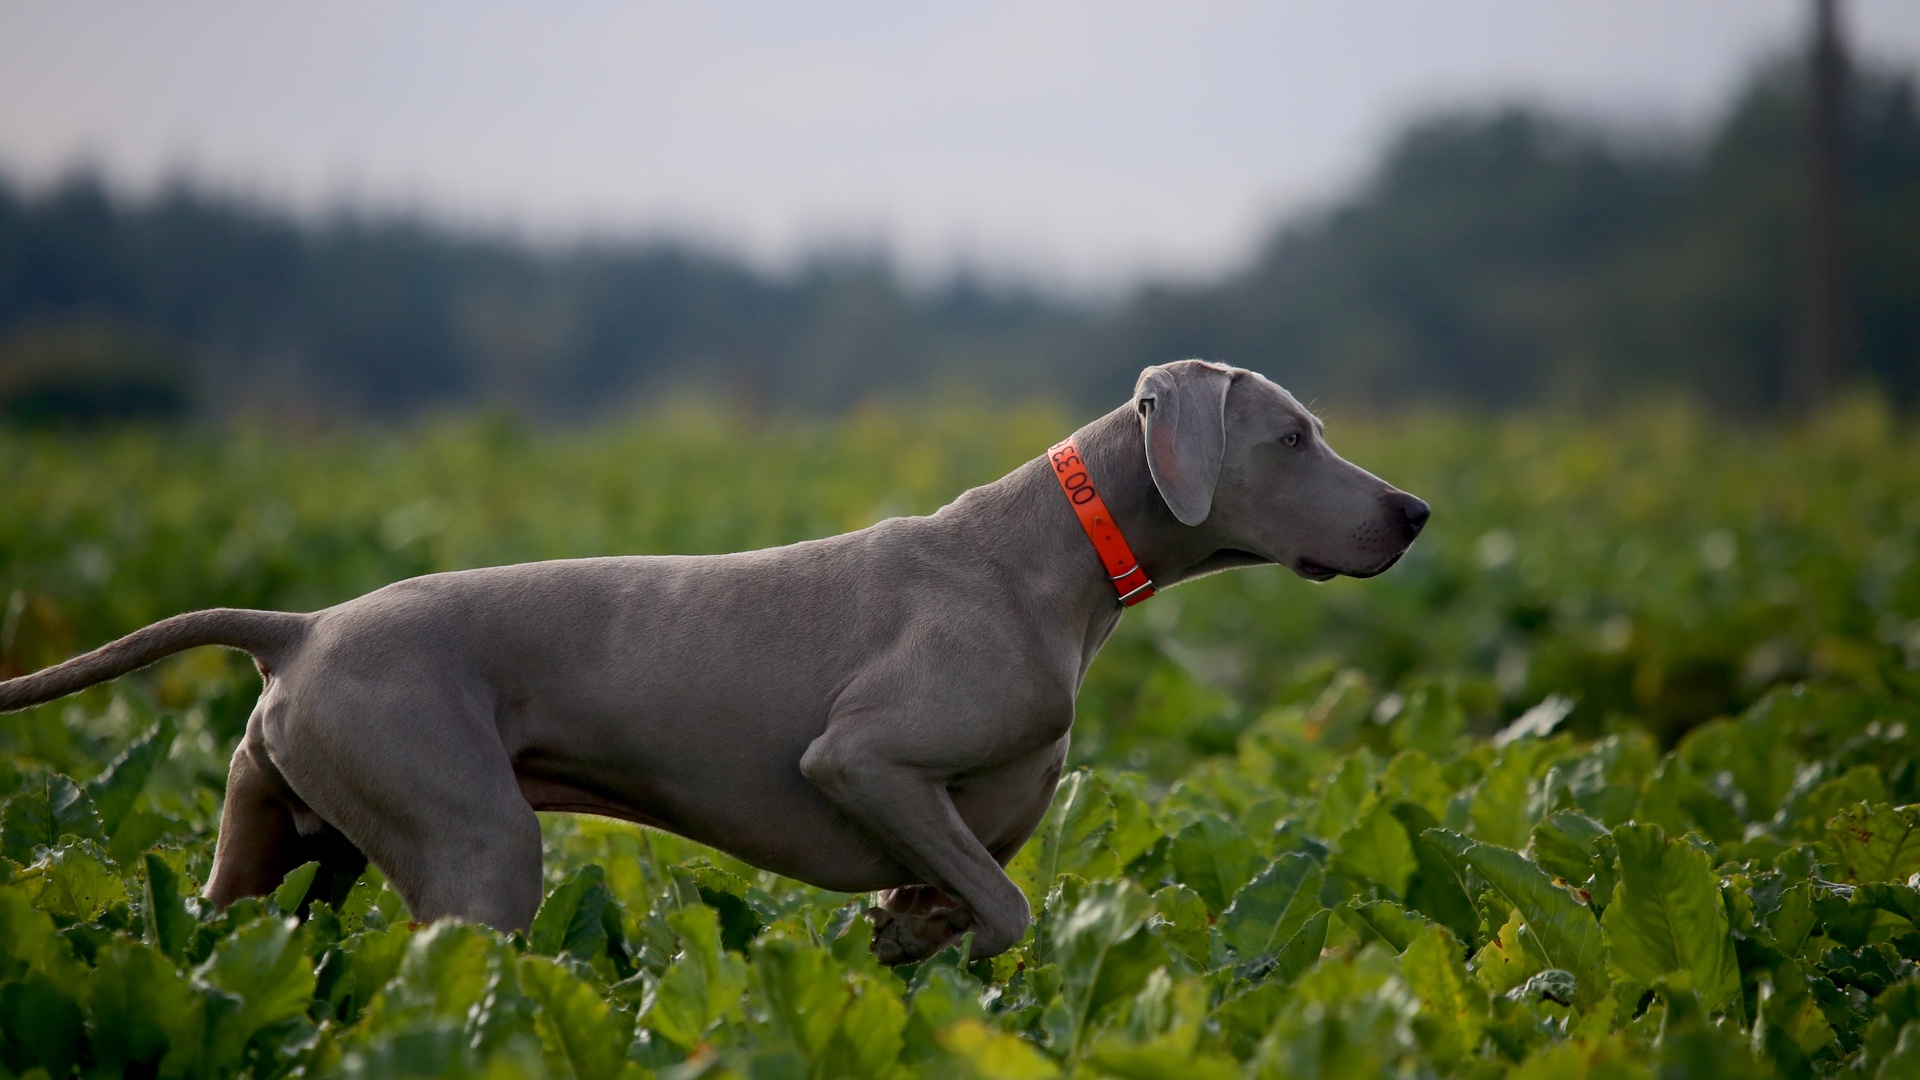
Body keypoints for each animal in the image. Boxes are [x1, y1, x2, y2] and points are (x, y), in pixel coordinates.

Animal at [0, 361, 1428, 957]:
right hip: (476, 845)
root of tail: (298, 629)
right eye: (1295, 437)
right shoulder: (864, 759)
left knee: (218, 941)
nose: (1416, 513)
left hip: (279, 854)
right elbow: (1010, 906)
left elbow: (969, 892)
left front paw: (910, 932)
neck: (1058, 563)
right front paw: (927, 938)